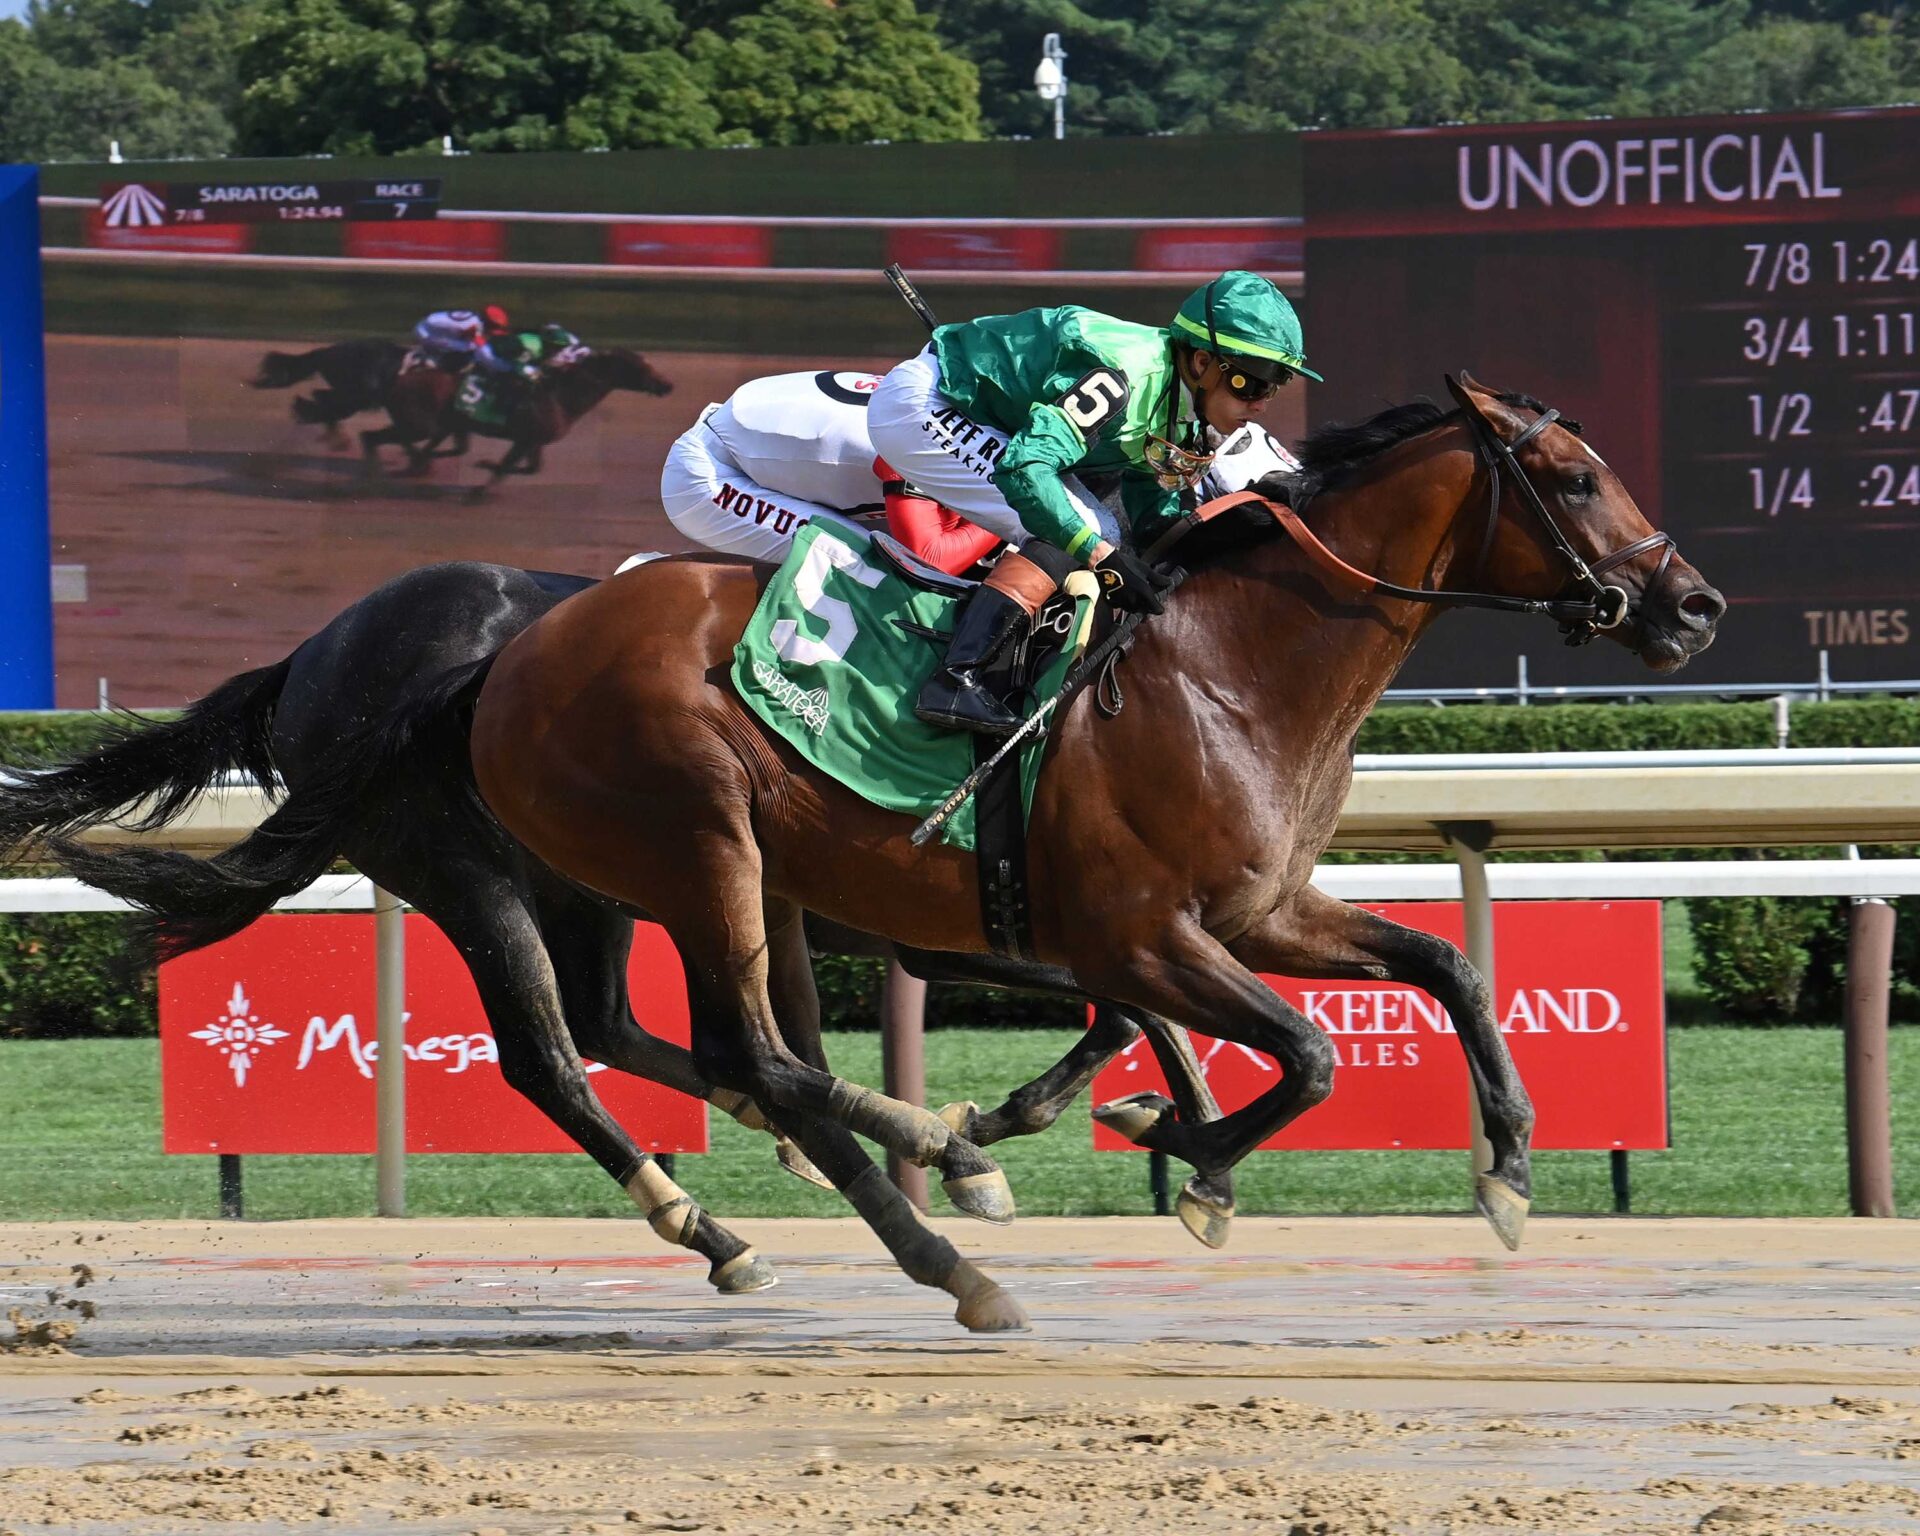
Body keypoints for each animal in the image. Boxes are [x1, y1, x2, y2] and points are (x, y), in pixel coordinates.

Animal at [359, 349, 674, 495]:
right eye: (639, 367)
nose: (667, 384)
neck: (561, 395)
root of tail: (395, 381)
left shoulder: (532, 441)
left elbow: (531, 469)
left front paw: (484, 469)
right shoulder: (525, 438)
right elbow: (508, 466)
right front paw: (481, 485)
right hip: (419, 424)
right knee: (374, 436)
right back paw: (388, 472)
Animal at [439, 374, 1724, 1323]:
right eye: (1575, 478)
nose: (1695, 606)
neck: (1230, 668)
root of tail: (509, 658)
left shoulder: (1260, 912)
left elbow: (1447, 969)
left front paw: (1506, 1173)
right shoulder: (1141, 934)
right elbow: (1308, 1056)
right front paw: (1183, 1147)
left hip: (715, 875)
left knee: (717, 1051)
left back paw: (924, 1215)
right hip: (705, 846)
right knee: (743, 1053)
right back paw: (936, 1175)